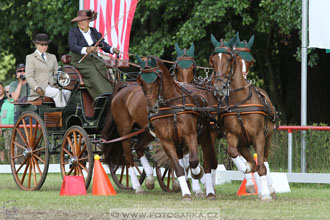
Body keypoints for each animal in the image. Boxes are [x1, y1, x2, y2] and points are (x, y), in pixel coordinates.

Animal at [137, 54, 218, 199]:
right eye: (141, 80)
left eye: (157, 78)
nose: (152, 108)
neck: (171, 105)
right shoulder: (166, 141)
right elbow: (178, 168)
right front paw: (186, 194)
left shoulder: (190, 135)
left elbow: (194, 161)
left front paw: (198, 174)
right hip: (178, 142)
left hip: (206, 135)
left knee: (208, 163)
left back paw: (209, 191)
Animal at [210, 33, 278, 200]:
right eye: (213, 59)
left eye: (229, 59)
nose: (219, 85)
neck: (240, 102)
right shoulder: (232, 136)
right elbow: (232, 152)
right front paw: (246, 169)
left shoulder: (259, 137)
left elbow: (261, 166)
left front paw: (265, 194)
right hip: (243, 143)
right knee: (251, 159)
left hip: (268, 137)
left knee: (264, 160)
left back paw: (269, 188)